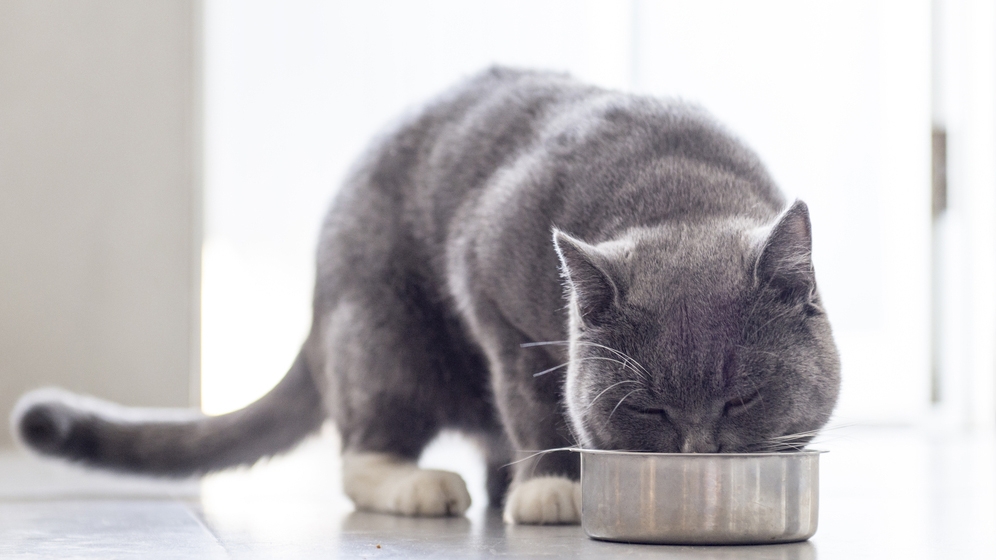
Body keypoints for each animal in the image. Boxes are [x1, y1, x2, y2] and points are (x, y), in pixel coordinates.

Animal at [13, 66, 840, 524]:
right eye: (649, 409)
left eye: (743, 397)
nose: (701, 452)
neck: (679, 192)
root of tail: (316, 310)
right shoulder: (491, 291)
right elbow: (533, 398)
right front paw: (553, 488)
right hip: (383, 330)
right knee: (363, 446)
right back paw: (424, 484)